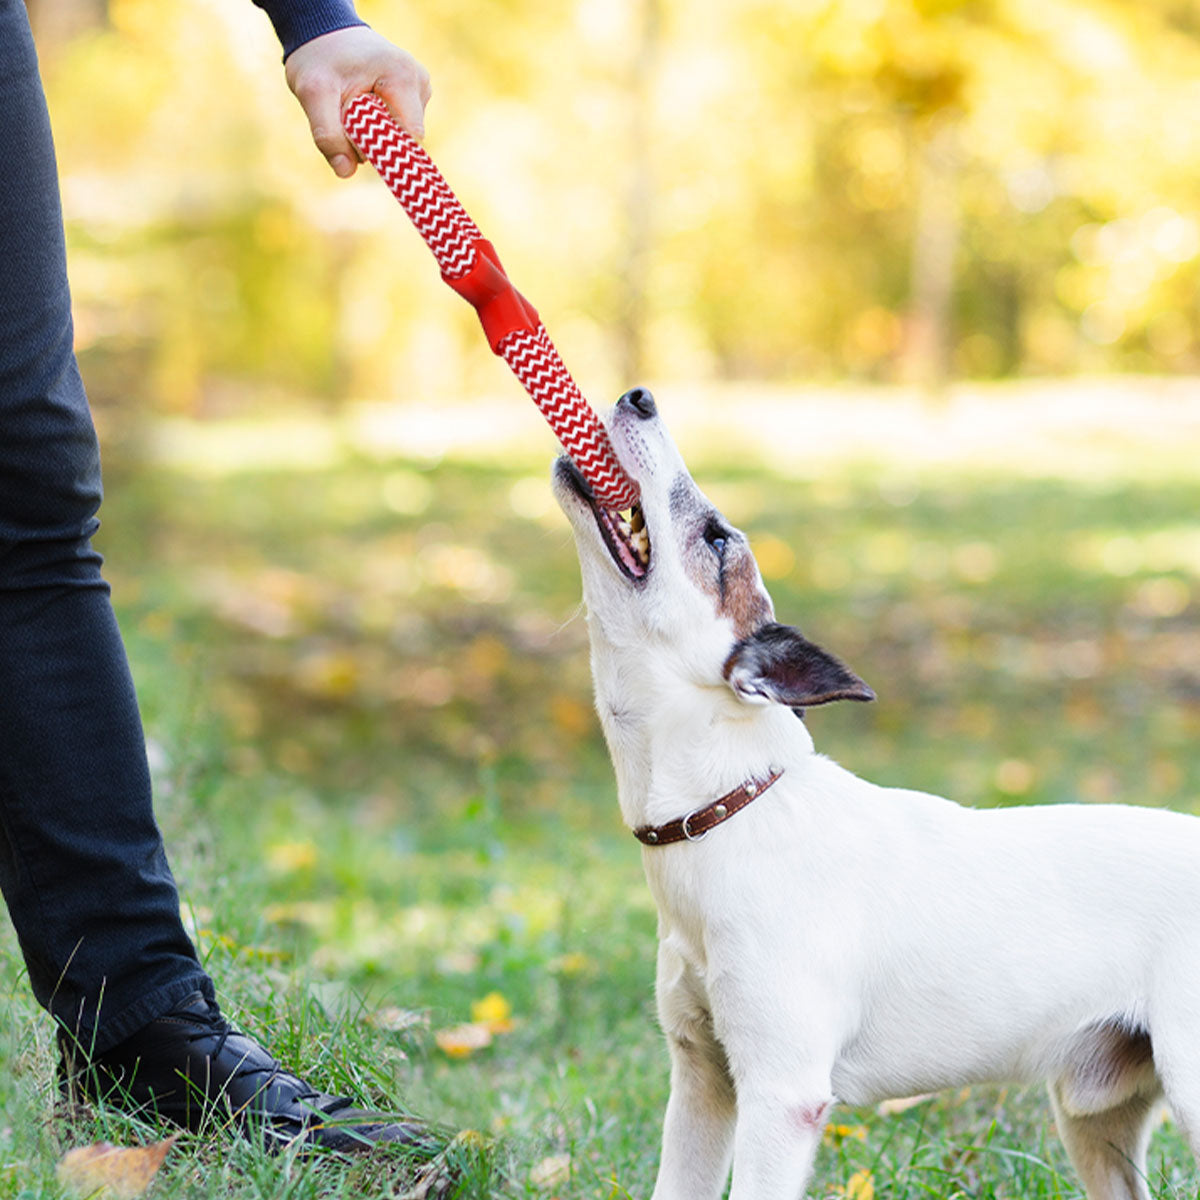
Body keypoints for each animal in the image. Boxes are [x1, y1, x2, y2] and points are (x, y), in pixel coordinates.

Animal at [549, 381, 1200, 1200]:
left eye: (718, 538)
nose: (640, 396)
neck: (732, 808)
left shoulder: (780, 1095)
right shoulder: (701, 1084)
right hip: (1094, 1120)